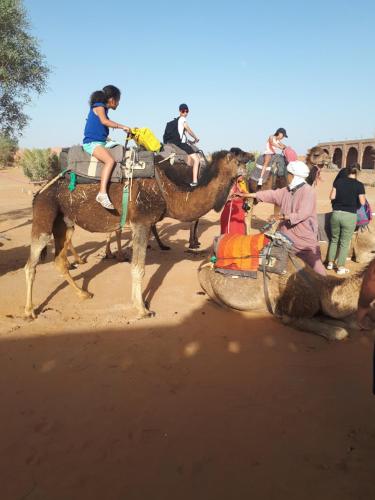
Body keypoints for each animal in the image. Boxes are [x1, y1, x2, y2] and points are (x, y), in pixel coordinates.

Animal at [25, 149, 251, 320]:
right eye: (240, 158)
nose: (251, 159)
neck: (168, 191)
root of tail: (40, 191)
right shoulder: (141, 222)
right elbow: (138, 269)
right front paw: (142, 309)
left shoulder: (144, 223)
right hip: (44, 215)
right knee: (31, 265)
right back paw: (29, 312)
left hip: (65, 223)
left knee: (59, 261)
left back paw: (83, 293)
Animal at [198, 249, 372, 340]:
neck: (322, 288)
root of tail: (205, 260)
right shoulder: (292, 314)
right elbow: (340, 333)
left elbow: (352, 323)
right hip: (206, 281)